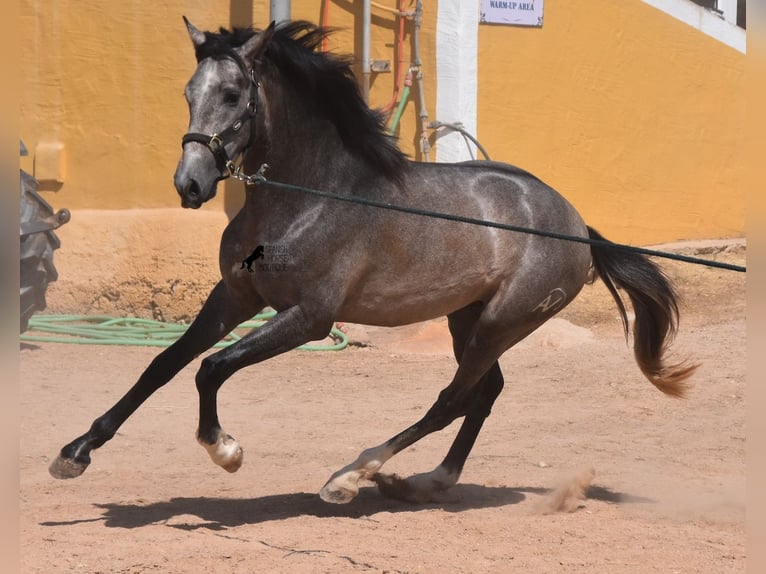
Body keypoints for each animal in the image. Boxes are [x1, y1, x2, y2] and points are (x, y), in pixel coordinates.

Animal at [48, 19, 700, 504]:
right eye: (187, 93)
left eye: (232, 95)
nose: (190, 185)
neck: (310, 197)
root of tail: (576, 223)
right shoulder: (234, 296)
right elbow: (162, 364)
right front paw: (75, 453)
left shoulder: (309, 318)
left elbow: (210, 368)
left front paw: (225, 450)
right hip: (468, 318)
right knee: (485, 392)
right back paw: (428, 480)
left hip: (502, 322)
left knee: (454, 398)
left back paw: (352, 475)